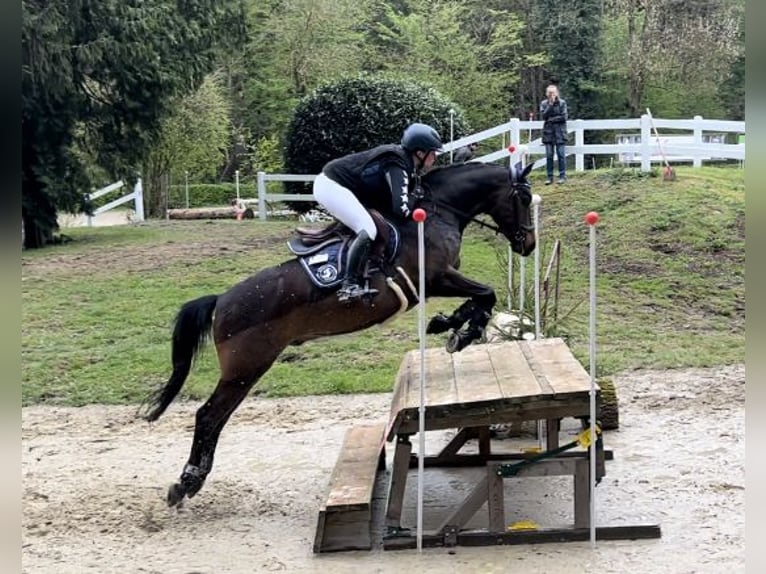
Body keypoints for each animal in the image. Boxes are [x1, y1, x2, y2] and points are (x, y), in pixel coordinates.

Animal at [142, 160, 536, 507]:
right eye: (524, 198)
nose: (529, 245)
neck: (437, 212)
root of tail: (221, 300)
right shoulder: (437, 277)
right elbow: (486, 293)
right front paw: (459, 331)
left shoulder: (440, 280)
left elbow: (481, 298)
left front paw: (450, 324)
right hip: (246, 368)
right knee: (208, 416)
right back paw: (187, 482)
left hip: (245, 369)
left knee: (215, 418)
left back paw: (192, 480)